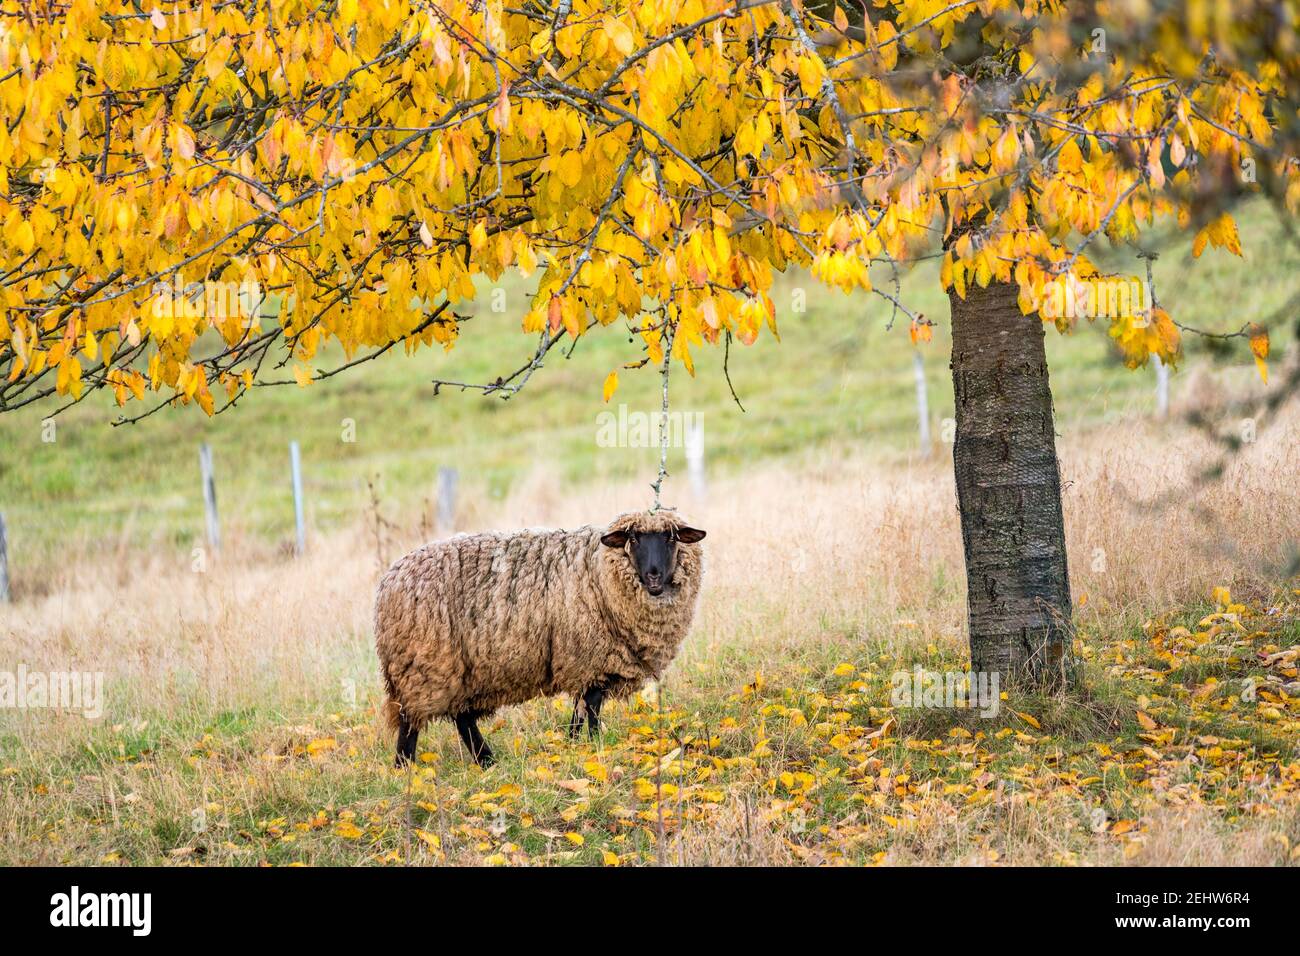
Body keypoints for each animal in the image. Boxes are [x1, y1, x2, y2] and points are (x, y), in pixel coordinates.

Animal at [375, 509, 706, 767]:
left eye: (671, 539)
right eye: (633, 540)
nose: (654, 576)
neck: (598, 571)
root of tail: (389, 581)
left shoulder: (587, 663)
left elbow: (580, 709)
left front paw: (573, 744)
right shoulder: (589, 658)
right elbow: (591, 708)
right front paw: (593, 746)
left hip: (461, 671)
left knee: (462, 718)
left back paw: (487, 762)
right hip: (423, 668)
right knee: (410, 723)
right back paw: (406, 771)